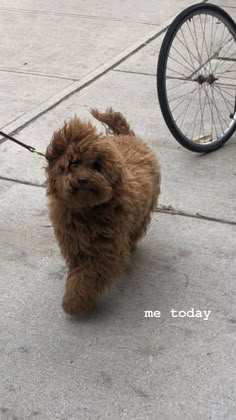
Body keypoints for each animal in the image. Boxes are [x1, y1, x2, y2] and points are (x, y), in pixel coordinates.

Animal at [45, 108, 160, 316]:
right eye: (74, 163)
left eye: (97, 166)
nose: (82, 179)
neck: (86, 210)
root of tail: (127, 135)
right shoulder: (74, 244)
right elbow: (79, 270)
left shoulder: (107, 252)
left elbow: (87, 277)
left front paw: (73, 302)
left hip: (143, 214)